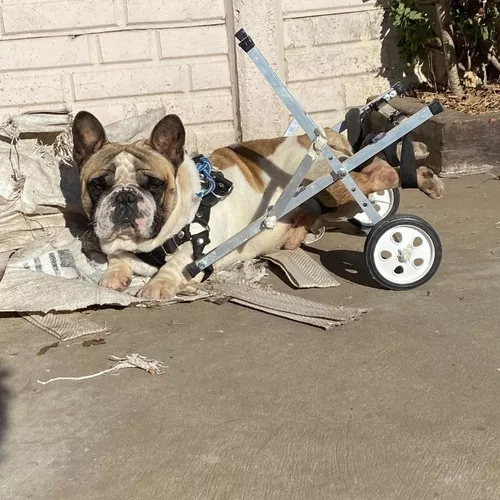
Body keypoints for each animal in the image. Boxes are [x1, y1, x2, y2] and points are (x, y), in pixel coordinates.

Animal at [72, 111, 444, 298]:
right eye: (98, 185)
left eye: (153, 185)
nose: (125, 197)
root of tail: (321, 135)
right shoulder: (117, 246)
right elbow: (116, 259)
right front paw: (114, 276)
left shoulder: (200, 247)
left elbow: (176, 262)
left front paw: (158, 284)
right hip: (332, 200)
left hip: (328, 183)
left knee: (381, 171)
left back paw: (420, 177)